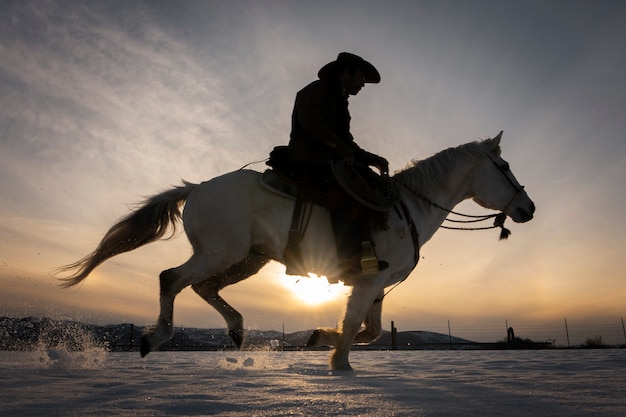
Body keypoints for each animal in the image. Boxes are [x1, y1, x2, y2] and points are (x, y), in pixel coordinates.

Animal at [57, 132, 532, 368]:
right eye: (505, 166)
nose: (527, 208)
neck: (409, 208)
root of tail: (198, 187)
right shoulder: (369, 282)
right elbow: (354, 330)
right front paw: (338, 362)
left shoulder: (376, 285)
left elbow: (372, 331)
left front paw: (320, 336)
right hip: (220, 252)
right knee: (171, 278)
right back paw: (156, 337)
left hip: (248, 259)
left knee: (205, 288)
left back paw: (237, 330)